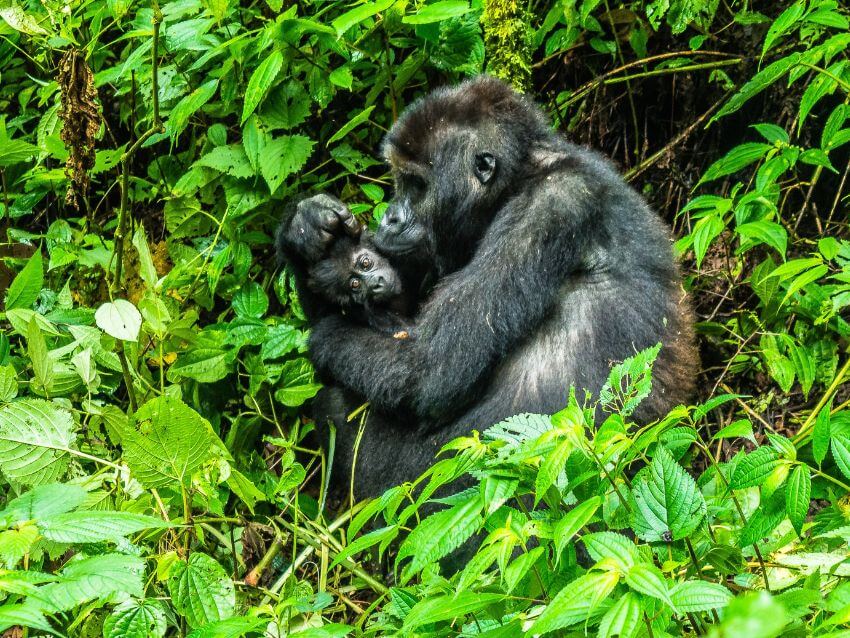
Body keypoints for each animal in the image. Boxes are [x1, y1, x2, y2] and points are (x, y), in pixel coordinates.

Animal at [278, 76, 696, 500]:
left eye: (416, 185)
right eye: (399, 182)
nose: (389, 218)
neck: (520, 178)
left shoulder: (550, 204)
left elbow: (428, 370)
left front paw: (323, 334)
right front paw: (307, 229)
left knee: (336, 406)